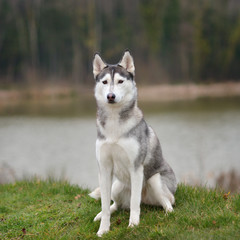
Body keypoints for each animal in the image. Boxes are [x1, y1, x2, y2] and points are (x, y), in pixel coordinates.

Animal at [89, 50, 176, 236]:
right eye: (105, 82)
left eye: (120, 81)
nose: (111, 96)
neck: (114, 123)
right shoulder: (104, 168)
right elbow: (105, 205)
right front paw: (103, 229)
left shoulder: (136, 168)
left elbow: (135, 204)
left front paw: (133, 225)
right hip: (116, 186)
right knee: (116, 204)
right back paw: (101, 214)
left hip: (155, 181)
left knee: (166, 201)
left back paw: (168, 212)